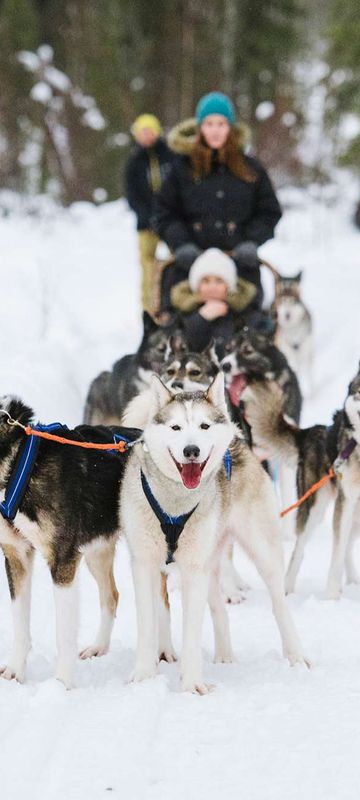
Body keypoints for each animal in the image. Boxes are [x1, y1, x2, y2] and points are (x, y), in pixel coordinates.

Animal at [0, 400, 141, 688]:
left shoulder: (62, 560)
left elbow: (63, 634)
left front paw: (61, 684)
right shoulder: (16, 555)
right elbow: (20, 624)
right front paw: (15, 670)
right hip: (97, 552)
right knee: (112, 596)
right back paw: (99, 647)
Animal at [120, 372, 306, 692]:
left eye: (204, 426)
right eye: (176, 427)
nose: (191, 450)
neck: (174, 505)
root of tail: (238, 441)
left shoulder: (193, 569)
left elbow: (192, 633)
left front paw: (192, 685)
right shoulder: (145, 564)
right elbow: (147, 626)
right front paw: (143, 677)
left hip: (262, 552)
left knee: (279, 605)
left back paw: (296, 655)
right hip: (209, 561)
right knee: (219, 608)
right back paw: (225, 655)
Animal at [240, 366, 360, 596]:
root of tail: (312, 432)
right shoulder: (345, 501)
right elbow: (337, 553)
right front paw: (331, 596)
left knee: (348, 545)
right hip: (315, 506)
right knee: (301, 548)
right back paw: (287, 587)